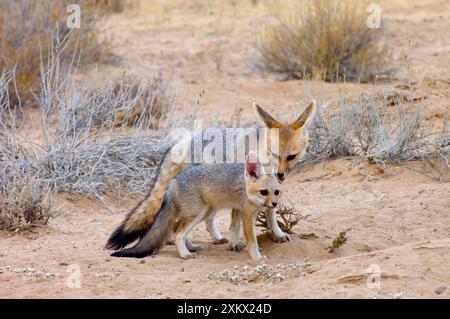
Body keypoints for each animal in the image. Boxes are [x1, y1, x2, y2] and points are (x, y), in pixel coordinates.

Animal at [109, 152, 282, 260]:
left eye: (277, 192)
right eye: (264, 192)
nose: (275, 204)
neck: (247, 188)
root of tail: (174, 180)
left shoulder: (239, 209)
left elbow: (234, 228)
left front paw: (233, 245)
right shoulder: (247, 215)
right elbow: (252, 241)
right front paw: (257, 258)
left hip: (203, 213)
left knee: (176, 228)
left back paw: (190, 248)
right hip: (197, 213)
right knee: (178, 233)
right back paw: (184, 254)